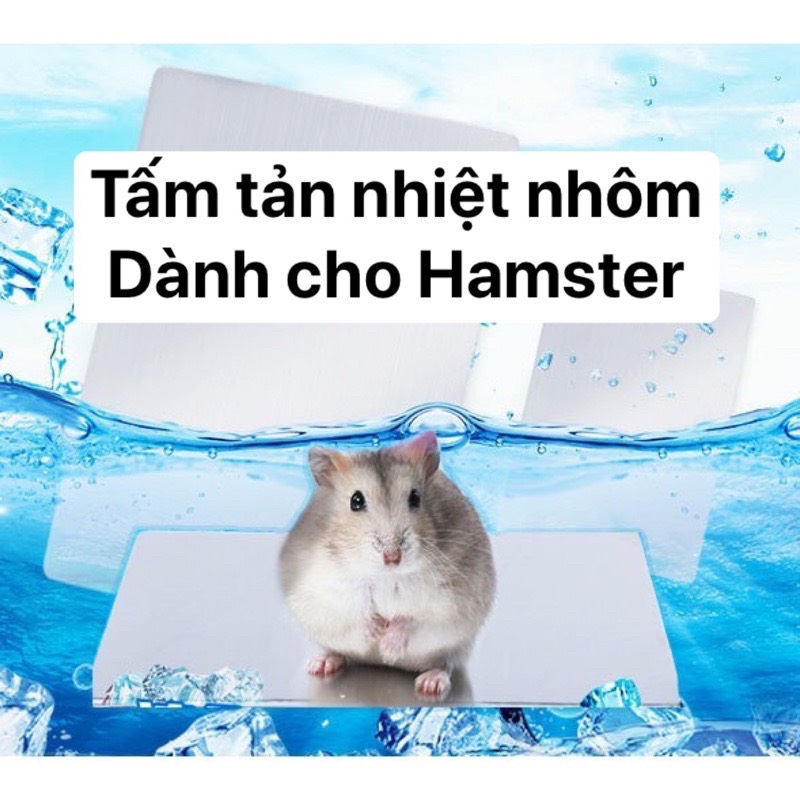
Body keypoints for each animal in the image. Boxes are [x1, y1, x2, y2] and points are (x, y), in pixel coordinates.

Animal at [279, 431, 495, 700]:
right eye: (356, 500)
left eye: (415, 497)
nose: (393, 557)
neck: (386, 575)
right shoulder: (323, 587)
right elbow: (354, 608)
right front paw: (376, 632)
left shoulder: (448, 598)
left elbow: (413, 617)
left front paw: (388, 648)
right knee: (337, 650)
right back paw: (321, 664)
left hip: (457, 646)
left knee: (445, 664)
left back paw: (430, 683)